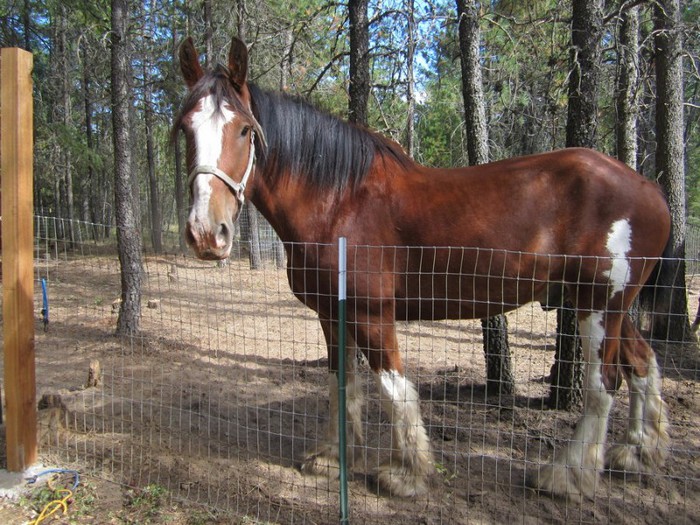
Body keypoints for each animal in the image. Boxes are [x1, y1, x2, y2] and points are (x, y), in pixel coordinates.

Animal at [175, 37, 672, 500]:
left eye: (244, 130)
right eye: (185, 128)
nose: (206, 233)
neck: (340, 201)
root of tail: (650, 188)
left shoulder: (372, 315)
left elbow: (394, 388)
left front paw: (406, 474)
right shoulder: (332, 314)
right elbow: (342, 384)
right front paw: (333, 458)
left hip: (598, 304)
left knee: (603, 384)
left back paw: (567, 476)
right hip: (610, 305)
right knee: (642, 364)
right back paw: (638, 453)